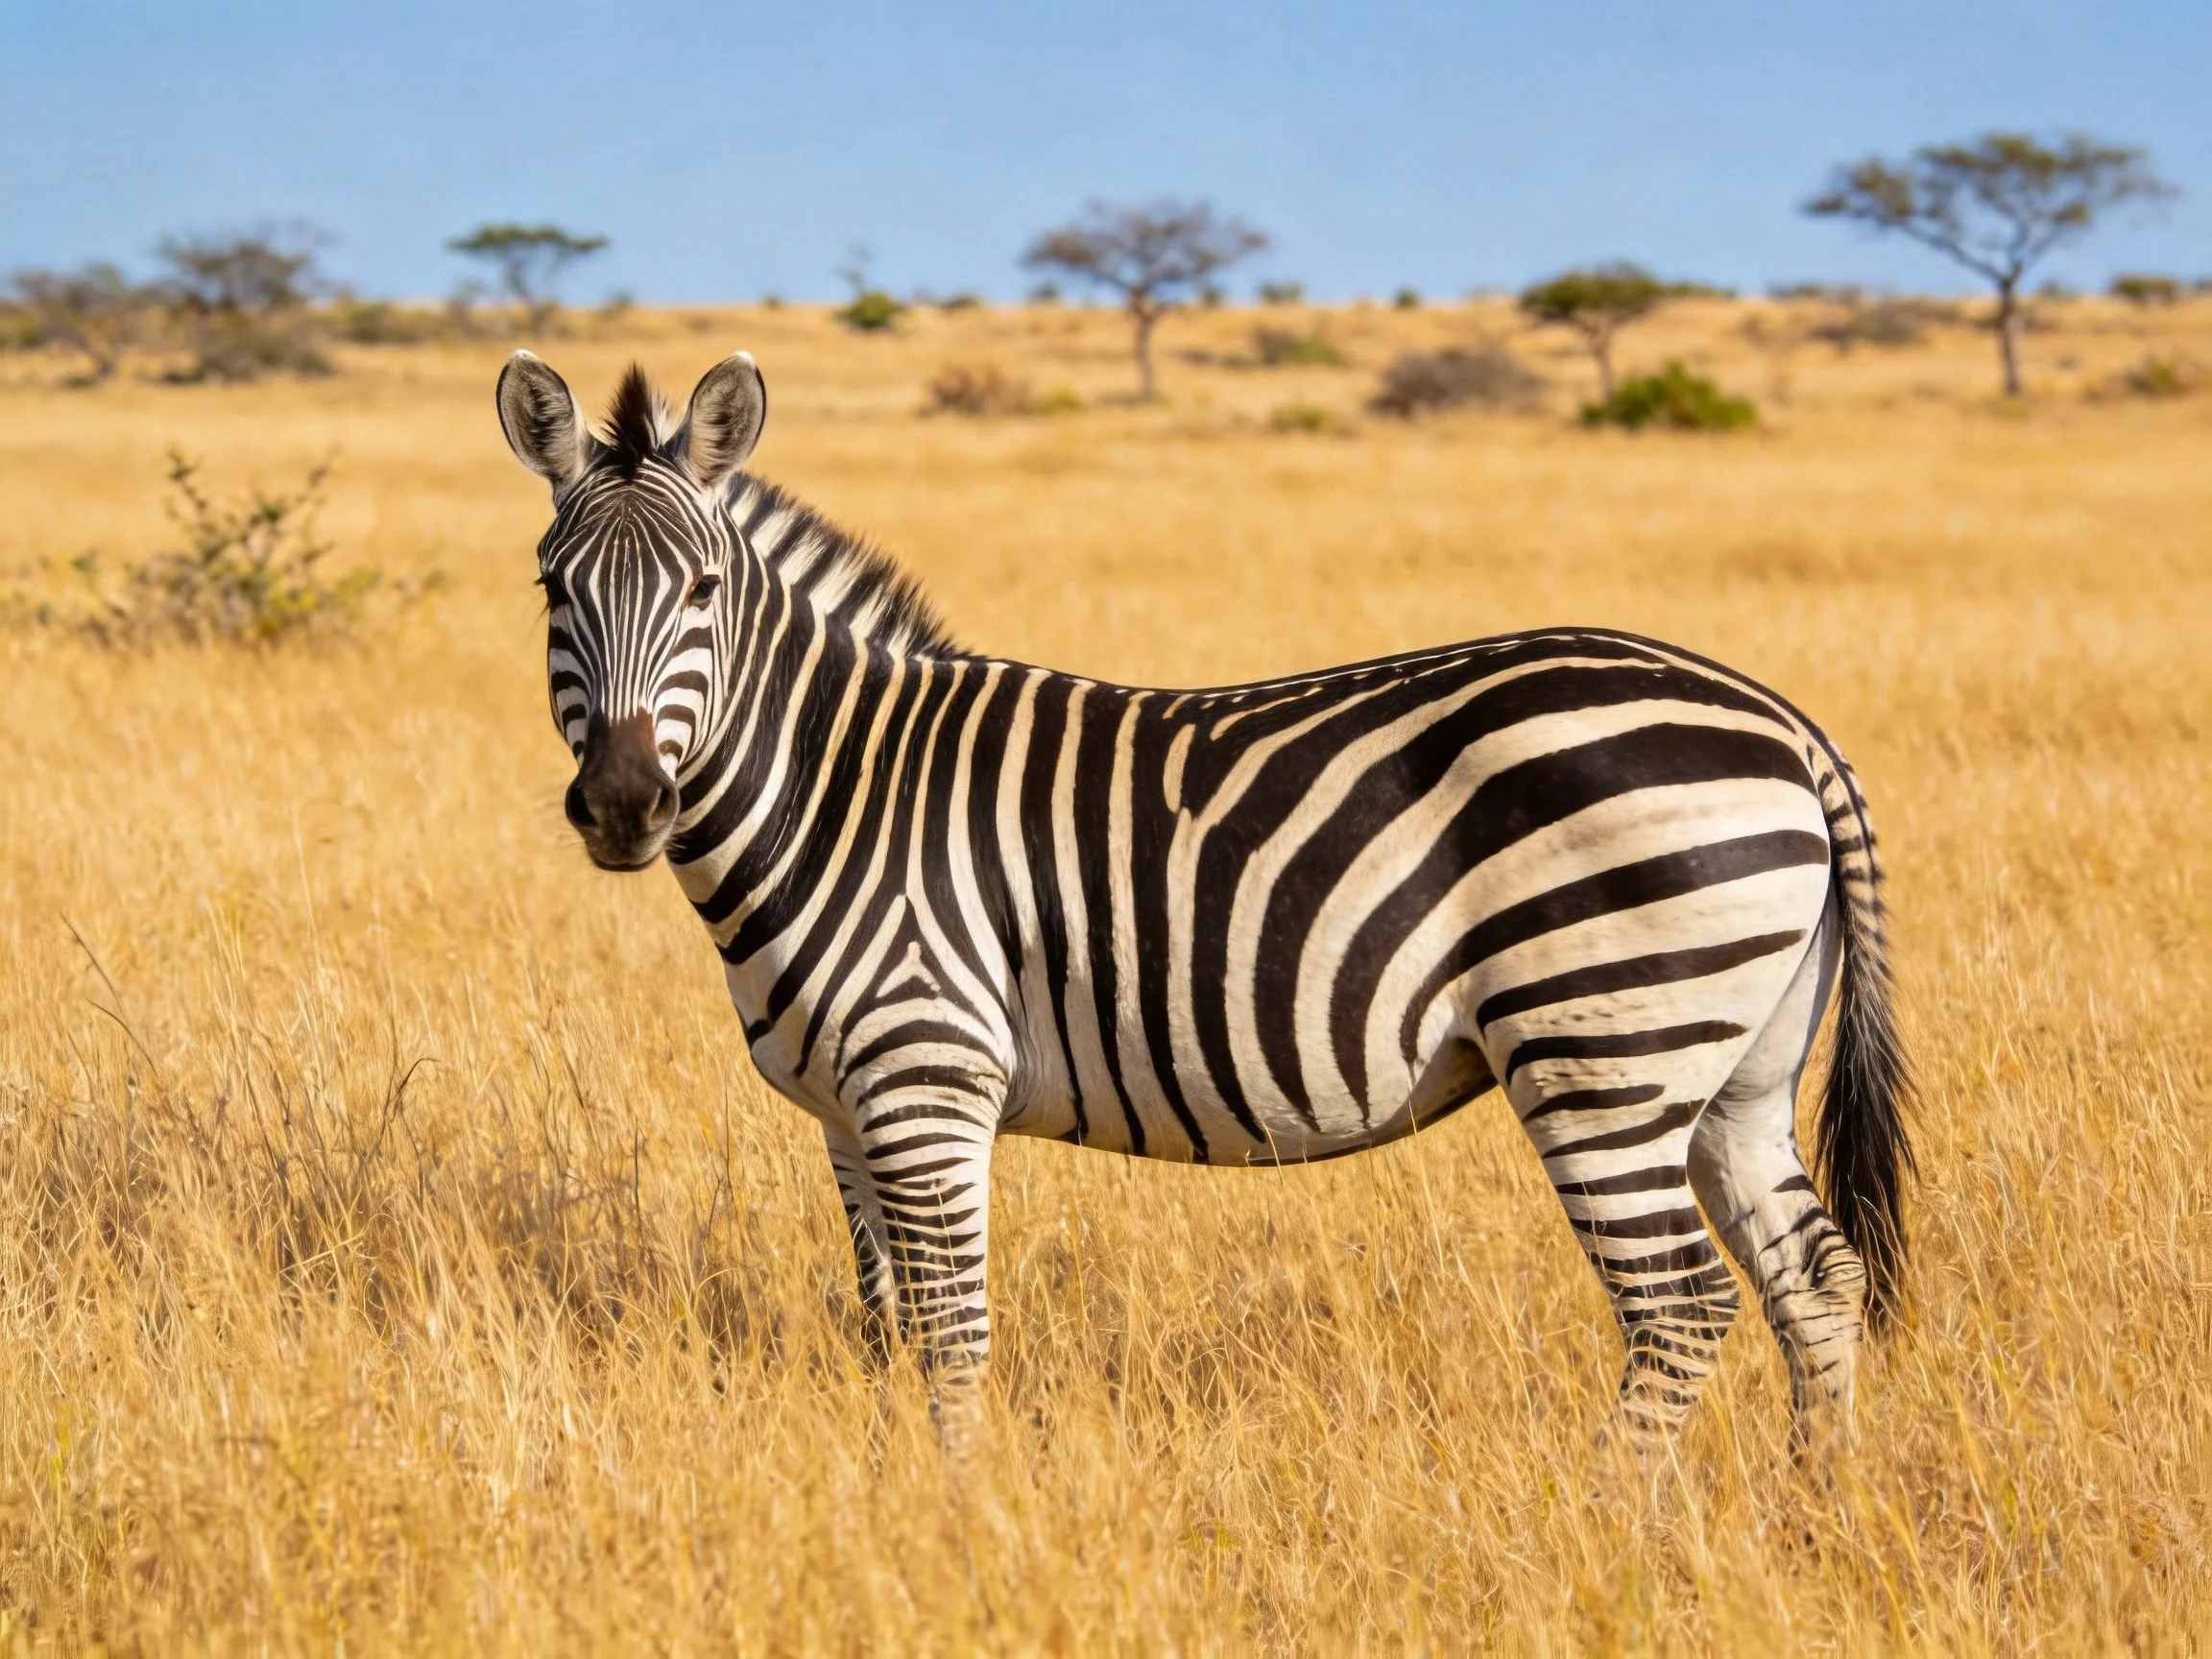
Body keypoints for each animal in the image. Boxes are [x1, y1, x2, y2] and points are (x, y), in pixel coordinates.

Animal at [494, 348, 1912, 1447]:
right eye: (553, 588)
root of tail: (1784, 722)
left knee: (1681, 1307)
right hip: (1731, 1069)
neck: (838, 785)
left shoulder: (925, 1078)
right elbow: (886, 1329)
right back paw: (1814, 1514)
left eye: (703, 591)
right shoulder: (847, 1112)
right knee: (1814, 1280)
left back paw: (1616, 1524)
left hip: (1603, 1045)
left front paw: (957, 1522)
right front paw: (905, 1506)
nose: (623, 803)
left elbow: (952, 1335)